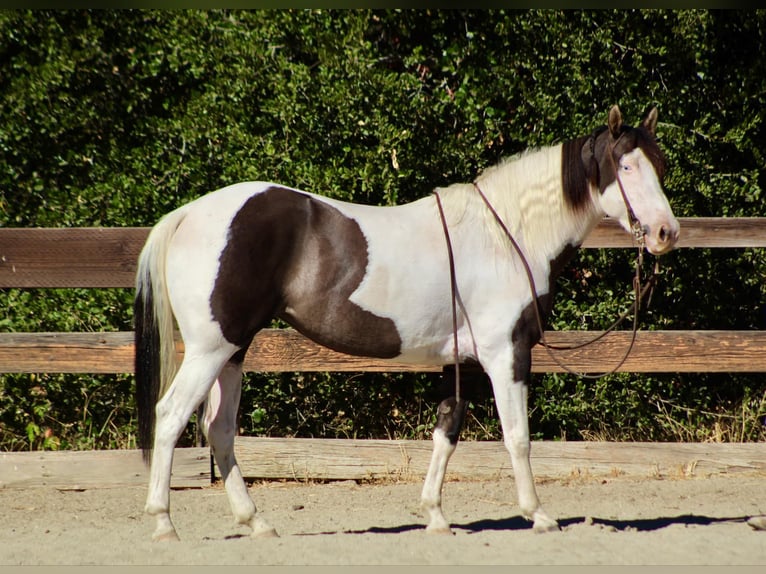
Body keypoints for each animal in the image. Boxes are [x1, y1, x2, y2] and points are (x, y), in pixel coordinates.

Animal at [135, 106, 680, 544]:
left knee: (220, 429)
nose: (665, 233)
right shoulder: (507, 352)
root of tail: (188, 214)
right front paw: (539, 516)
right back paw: (163, 523)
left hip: (234, 350)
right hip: (210, 348)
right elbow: (517, 436)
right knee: (171, 415)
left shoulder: (460, 363)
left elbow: (447, 431)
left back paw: (257, 523)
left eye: (659, 165)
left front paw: (436, 517)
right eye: (625, 166)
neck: (506, 234)